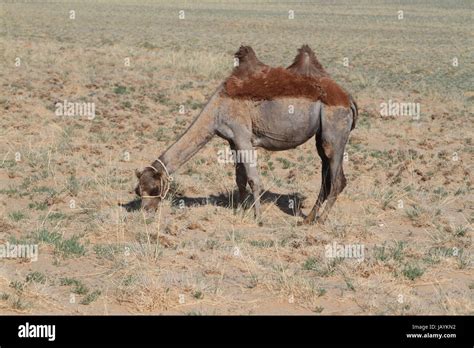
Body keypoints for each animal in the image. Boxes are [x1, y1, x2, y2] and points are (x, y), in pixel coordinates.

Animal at [135, 44, 358, 224]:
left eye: (154, 188)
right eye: (138, 191)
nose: (146, 213)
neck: (216, 110)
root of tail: (348, 98)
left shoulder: (242, 135)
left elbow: (253, 179)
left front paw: (258, 218)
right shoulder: (233, 141)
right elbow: (240, 178)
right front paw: (241, 211)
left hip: (334, 130)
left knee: (337, 180)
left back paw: (320, 220)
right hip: (321, 136)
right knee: (327, 178)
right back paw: (308, 219)